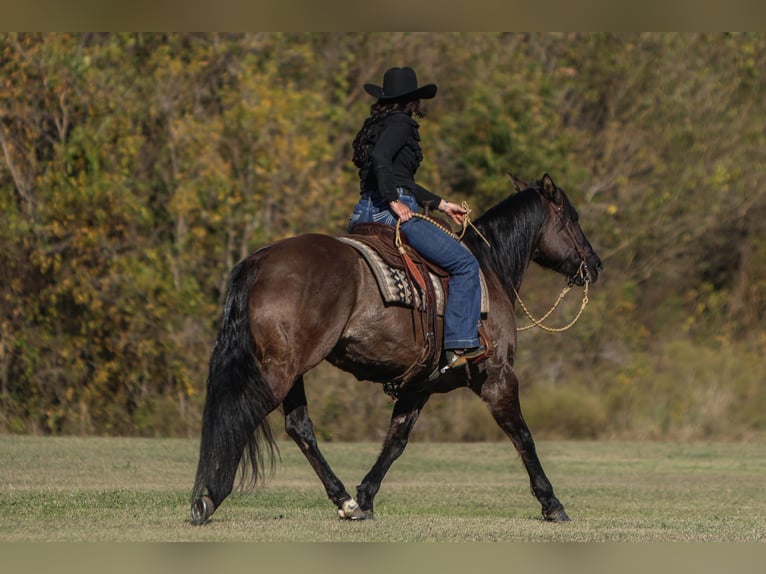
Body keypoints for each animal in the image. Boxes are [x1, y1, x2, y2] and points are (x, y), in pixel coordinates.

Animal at [189, 174, 604, 528]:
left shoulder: (419, 385)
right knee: (243, 414)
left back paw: (344, 501)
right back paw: (210, 497)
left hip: (290, 370)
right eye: (572, 218)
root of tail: (259, 261)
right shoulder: (498, 376)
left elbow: (396, 441)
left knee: (299, 427)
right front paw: (552, 503)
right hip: (280, 371)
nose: (595, 264)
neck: (489, 270)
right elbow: (522, 435)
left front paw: (365, 497)